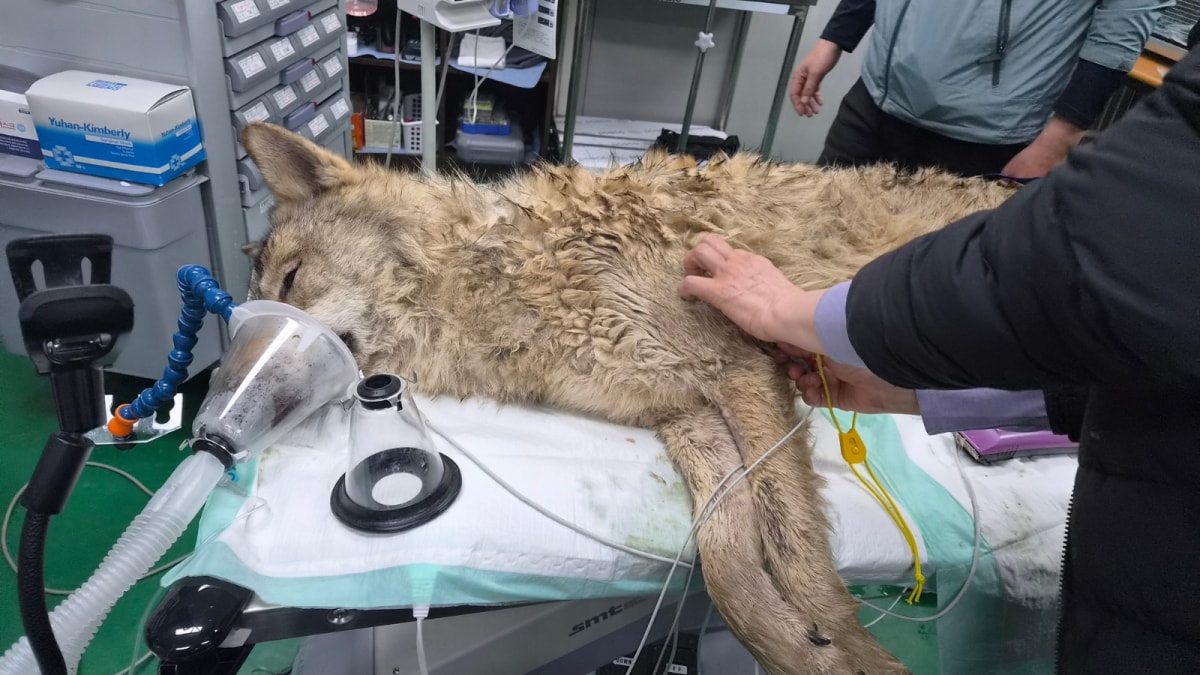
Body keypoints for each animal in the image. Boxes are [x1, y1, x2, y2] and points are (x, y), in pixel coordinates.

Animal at [238, 122, 1017, 674]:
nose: (231, 416)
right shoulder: (687, 415)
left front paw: (854, 651)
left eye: (292, 281)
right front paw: (803, 649)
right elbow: (729, 564)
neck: (503, 276)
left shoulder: (740, 369)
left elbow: (794, 550)